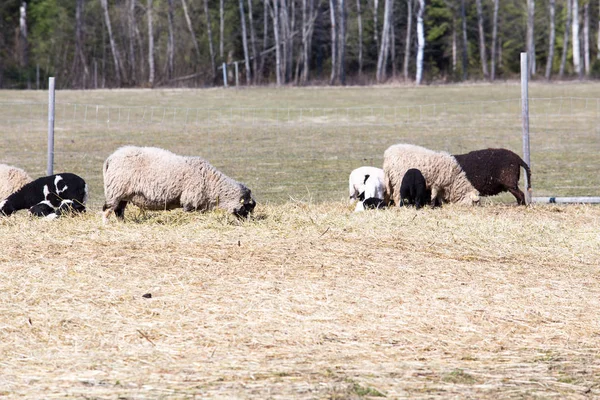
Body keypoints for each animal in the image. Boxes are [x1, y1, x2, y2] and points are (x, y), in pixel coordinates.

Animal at [102, 146, 255, 223]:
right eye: (247, 207)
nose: (248, 223)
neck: (212, 184)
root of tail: (111, 158)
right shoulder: (190, 200)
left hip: (124, 194)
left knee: (119, 210)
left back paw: (123, 224)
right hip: (116, 189)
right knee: (107, 209)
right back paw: (106, 225)